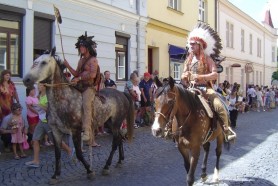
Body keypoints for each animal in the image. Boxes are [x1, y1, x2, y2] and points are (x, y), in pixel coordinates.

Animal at [22, 47, 134, 184]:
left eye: (43, 62)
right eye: (35, 61)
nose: (26, 80)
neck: (63, 100)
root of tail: (122, 94)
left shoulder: (75, 130)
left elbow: (79, 154)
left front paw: (90, 171)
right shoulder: (55, 131)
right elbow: (57, 154)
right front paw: (55, 175)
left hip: (116, 122)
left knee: (115, 142)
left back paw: (107, 167)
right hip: (109, 123)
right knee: (119, 140)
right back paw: (120, 161)